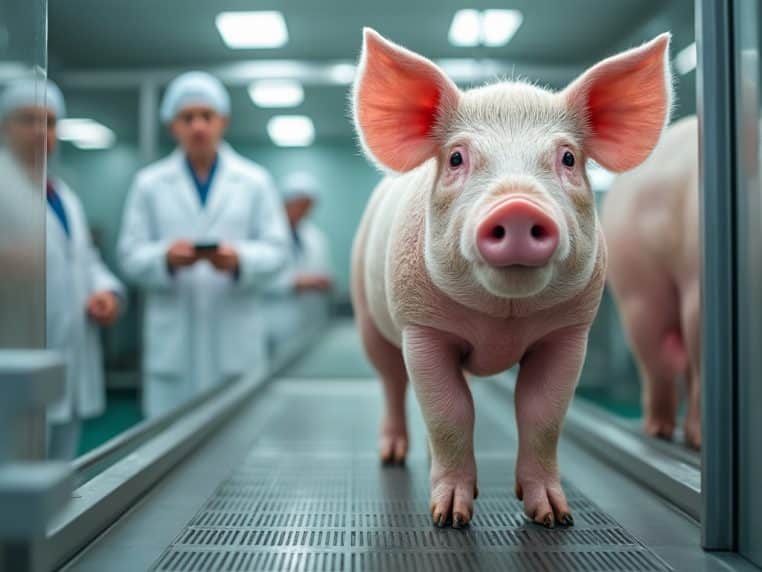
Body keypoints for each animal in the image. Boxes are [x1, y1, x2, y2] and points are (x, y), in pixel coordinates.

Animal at [350, 28, 672, 528]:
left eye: (568, 158)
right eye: (457, 158)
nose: (517, 206)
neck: (504, 319)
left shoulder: (568, 332)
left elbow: (542, 413)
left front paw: (555, 518)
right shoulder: (421, 327)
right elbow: (450, 411)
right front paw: (448, 519)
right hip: (369, 318)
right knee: (391, 383)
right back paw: (392, 456)